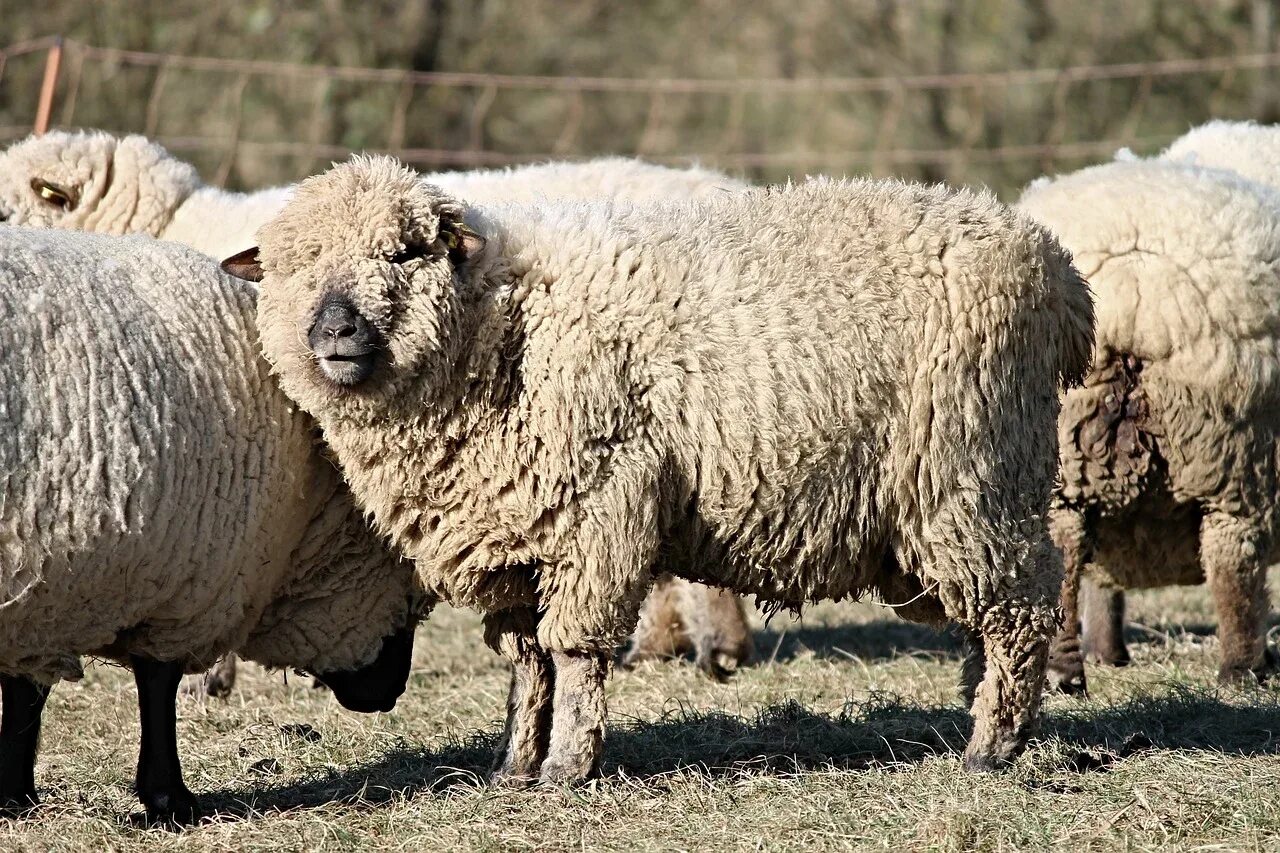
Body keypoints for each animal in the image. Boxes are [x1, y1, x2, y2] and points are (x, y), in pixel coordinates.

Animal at [0, 225, 430, 824]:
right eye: (410, 588)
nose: (390, 694)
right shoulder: (179, 570)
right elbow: (153, 683)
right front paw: (169, 798)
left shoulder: (48, 574)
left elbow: (25, 690)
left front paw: (13, 794)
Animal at [225, 153, 1095, 778]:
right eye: (292, 264)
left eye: (406, 253)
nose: (334, 328)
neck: (499, 330)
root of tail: (1056, 270)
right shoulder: (516, 535)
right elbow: (526, 661)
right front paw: (513, 763)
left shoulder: (596, 509)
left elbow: (574, 651)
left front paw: (566, 768)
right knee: (993, 614)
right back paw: (980, 714)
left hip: (971, 469)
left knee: (1021, 606)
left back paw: (992, 746)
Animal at [1013, 157, 1280, 691]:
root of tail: (1131, 288)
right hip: (1232, 449)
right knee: (1233, 557)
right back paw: (1243, 670)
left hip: (1069, 447)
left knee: (1064, 551)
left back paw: (1063, 670)